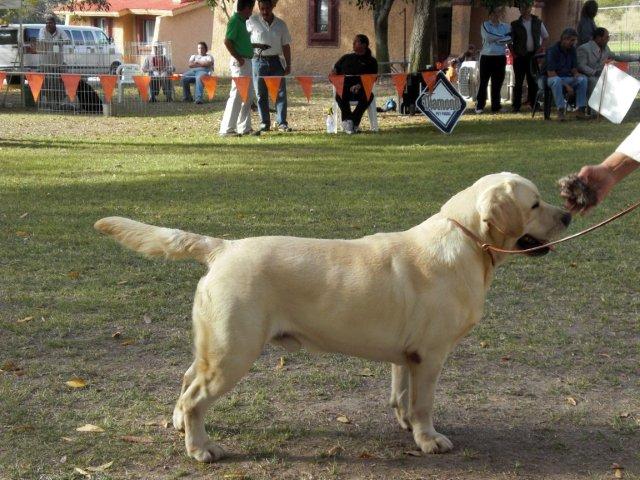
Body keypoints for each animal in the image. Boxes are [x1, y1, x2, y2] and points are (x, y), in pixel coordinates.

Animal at [94, 172, 571, 462]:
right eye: (535, 204)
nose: (568, 214)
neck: (468, 242)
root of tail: (222, 247)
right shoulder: (432, 355)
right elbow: (424, 403)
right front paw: (428, 439)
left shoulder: (408, 356)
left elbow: (401, 394)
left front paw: (404, 423)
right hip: (234, 351)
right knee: (196, 395)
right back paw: (200, 448)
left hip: (216, 344)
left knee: (185, 379)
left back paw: (179, 425)